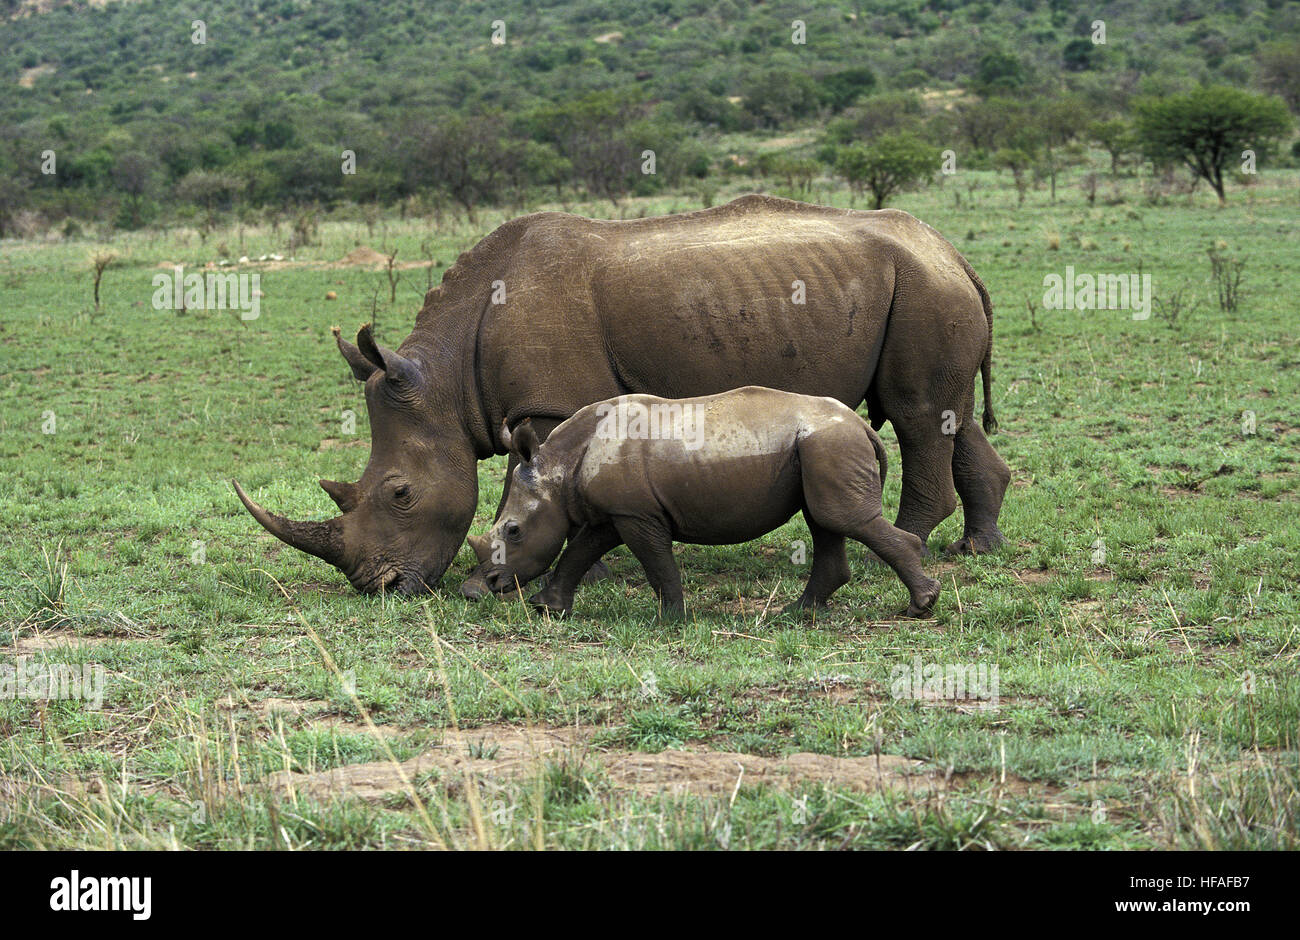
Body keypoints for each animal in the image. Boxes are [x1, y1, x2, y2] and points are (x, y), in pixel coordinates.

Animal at [473, 384, 941, 621]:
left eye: (513, 531)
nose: (486, 586)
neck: (561, 463)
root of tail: (863, 427)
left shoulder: (636, 513)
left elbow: (655, 563)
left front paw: (671, 621)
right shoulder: (617, 512)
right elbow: (580, 550)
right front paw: (547, 608)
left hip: (830, 442)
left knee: (842, 518)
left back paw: (921, 607)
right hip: (821, 445)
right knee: (825, 521)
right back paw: (797, 614)